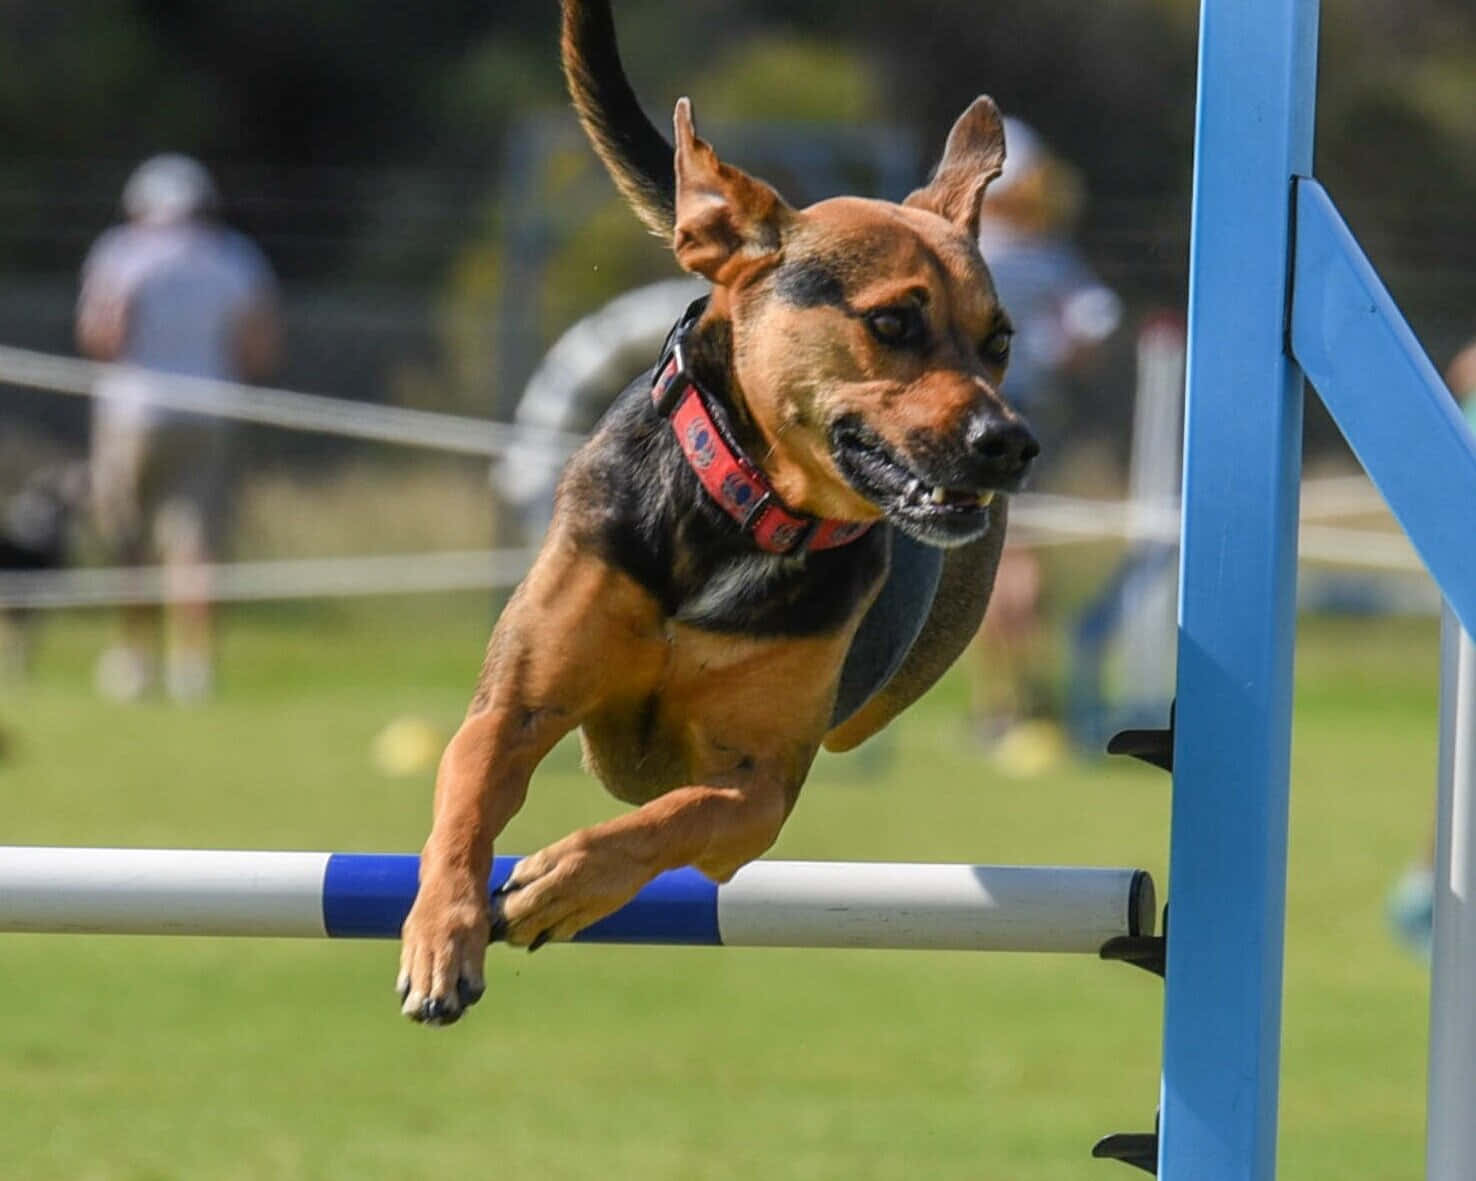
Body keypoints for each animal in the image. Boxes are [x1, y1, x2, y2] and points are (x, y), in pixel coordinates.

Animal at [395, 0, 1039, 1021]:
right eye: (892, 322)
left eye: (999, 340)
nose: (1011, 443)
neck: (742, 510)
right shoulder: (516, 704)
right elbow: (462, 799)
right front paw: (439, 936)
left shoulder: (760, 787)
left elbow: (676, 815)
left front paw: (566, 880)